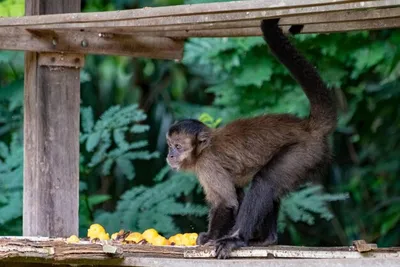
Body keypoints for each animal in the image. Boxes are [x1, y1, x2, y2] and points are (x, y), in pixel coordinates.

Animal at [164, 18, 336, 260]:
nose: (170, 155)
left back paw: (237, 239)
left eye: (178, 147)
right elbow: (236, 195)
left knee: (264, 181)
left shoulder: (208, 165)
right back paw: (267, 239)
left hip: (305, 152)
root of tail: (307, 127)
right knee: (269, 189)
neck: (204, 150)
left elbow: (227, 203)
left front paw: (211, 237)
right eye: (170, 146)